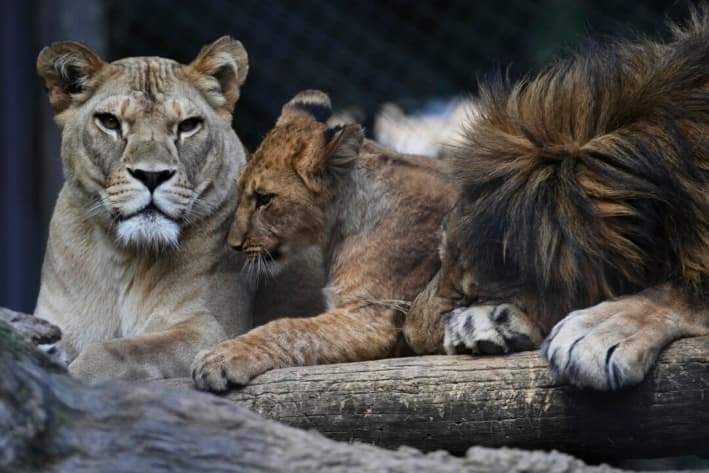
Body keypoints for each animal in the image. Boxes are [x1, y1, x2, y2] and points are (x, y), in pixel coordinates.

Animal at [35, 38, 324, 381]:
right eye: (109, 122)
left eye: (188, 126)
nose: (152, 175)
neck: (122, 256)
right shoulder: (57, 323)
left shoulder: (211, 330)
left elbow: (120, 350)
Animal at [190, 90, 456, 391]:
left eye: (264, 199)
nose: (233, 245)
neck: (338, 224)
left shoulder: (369, 319)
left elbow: (288, 329)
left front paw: (221, 356)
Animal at [404, 8, 709, 390]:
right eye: (441, 258)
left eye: (472, 292)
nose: (407, 336)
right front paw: (486, 323)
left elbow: (680, 293)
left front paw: (599, 331)